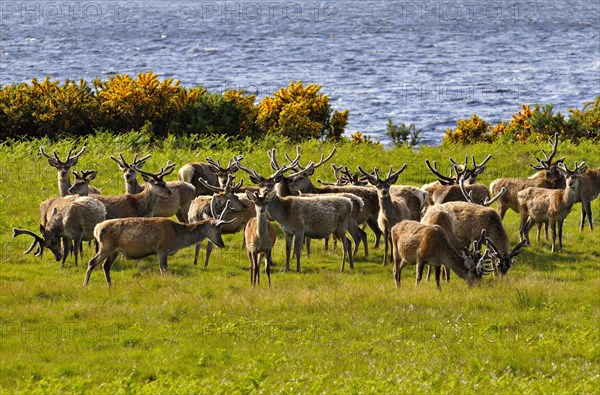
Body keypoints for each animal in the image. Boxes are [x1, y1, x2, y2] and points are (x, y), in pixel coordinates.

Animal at [83, 197, 233, 284]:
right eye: (218, 229)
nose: (222, 244)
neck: (177, 237)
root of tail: (97, 228)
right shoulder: (162, 249)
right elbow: (163, 270)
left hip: (114, 250)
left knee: (105, 266)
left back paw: (110, 285)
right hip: (106, 247)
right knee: (92, 262)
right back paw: (86, 284)